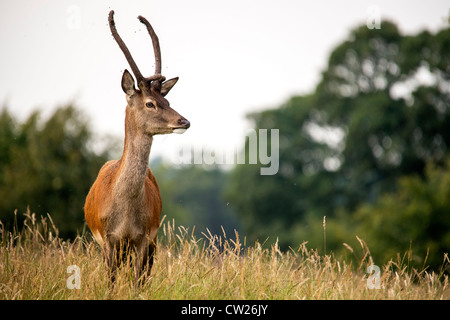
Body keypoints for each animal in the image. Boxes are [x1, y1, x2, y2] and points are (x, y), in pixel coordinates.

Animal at [84, 10, 190, 284]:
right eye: (150, 103)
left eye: (168, 100)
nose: (184, 121)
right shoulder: (108, 239)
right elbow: (110, 282)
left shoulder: (144, 237)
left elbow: (138, 282)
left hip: (152, 241)